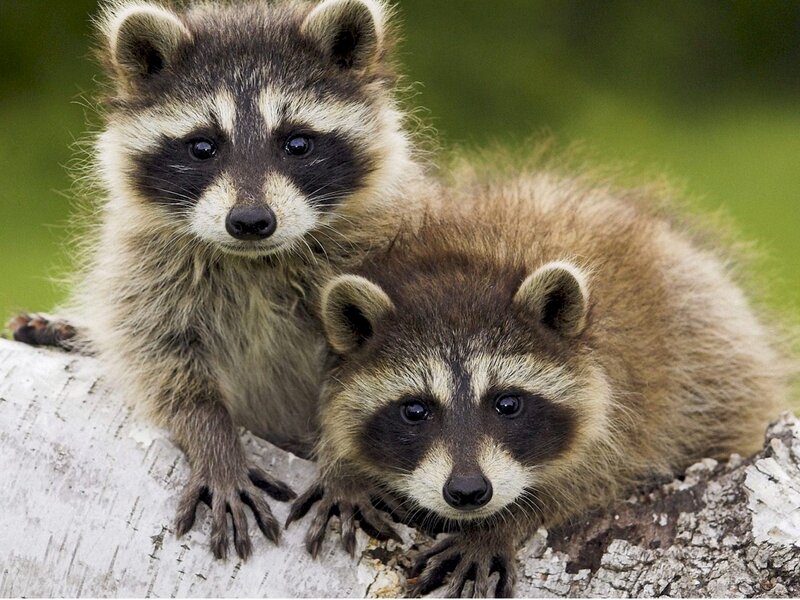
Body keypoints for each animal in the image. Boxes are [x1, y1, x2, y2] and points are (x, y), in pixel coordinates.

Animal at [8, 0, 431, 560]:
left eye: (297, 143)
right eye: (202, 147)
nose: (250, 221)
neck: (254, 260)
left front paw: (345, 467)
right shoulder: (146, 267)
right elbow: (161, 360)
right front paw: (213, 440)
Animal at [287, 173, 790, 596]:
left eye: (507, 404)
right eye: (415, 410)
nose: (468, 492)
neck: (466, 262)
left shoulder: (634, 393)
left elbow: (597, 473)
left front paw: (504, 522)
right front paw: (344, 469)